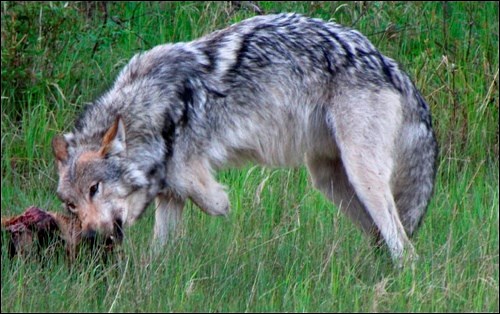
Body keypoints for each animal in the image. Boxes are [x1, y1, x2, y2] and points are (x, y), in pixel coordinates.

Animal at [51, 13, 438, 266]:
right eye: (70, 205)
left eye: (95, 189)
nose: (90, 237)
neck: (154, 106)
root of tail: (391, 66)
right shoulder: (169, 196)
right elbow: (159, 251)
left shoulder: (186, 173)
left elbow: (209, 197)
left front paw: (221, 202)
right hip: (330, 180)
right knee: (382, 238)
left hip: (362, 177)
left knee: (404, 246)